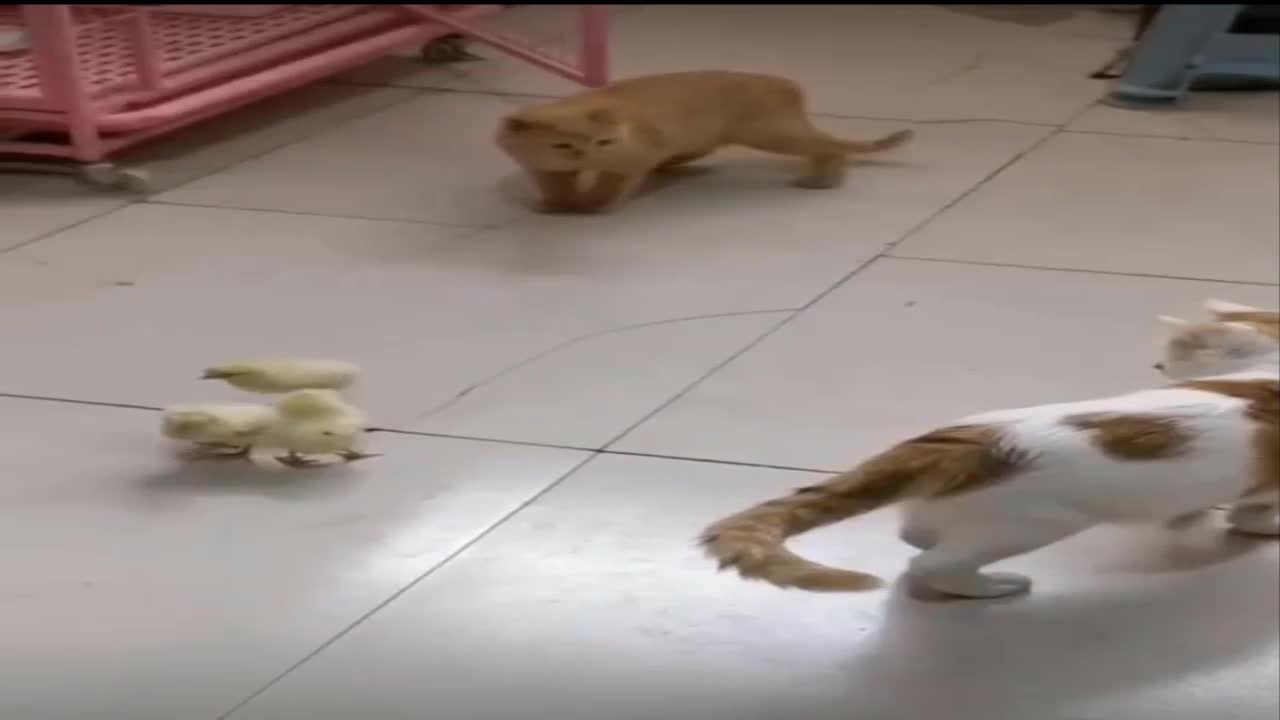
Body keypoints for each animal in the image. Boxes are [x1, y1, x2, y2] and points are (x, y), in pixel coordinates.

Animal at [494, 71, 916, 213]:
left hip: (770, 131)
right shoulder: (543, 166)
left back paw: (822, 180)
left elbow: (611, 185)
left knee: (828, 145)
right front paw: (558, 205)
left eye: (603, 142)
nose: (587, 154)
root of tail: (788, 85)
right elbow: (555, 184)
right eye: (563, 146)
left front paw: (592, 206)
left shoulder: (630, 159)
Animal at [701, 299, 1280, 597]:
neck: (1267, 373)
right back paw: (994, 585)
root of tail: (940, 446)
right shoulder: (1265, 485)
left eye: (1171, 356)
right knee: (929, 565)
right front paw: (1259, 528)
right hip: (1032, 523)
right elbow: (1252, 514)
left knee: (918, 535)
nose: (1157, 366)